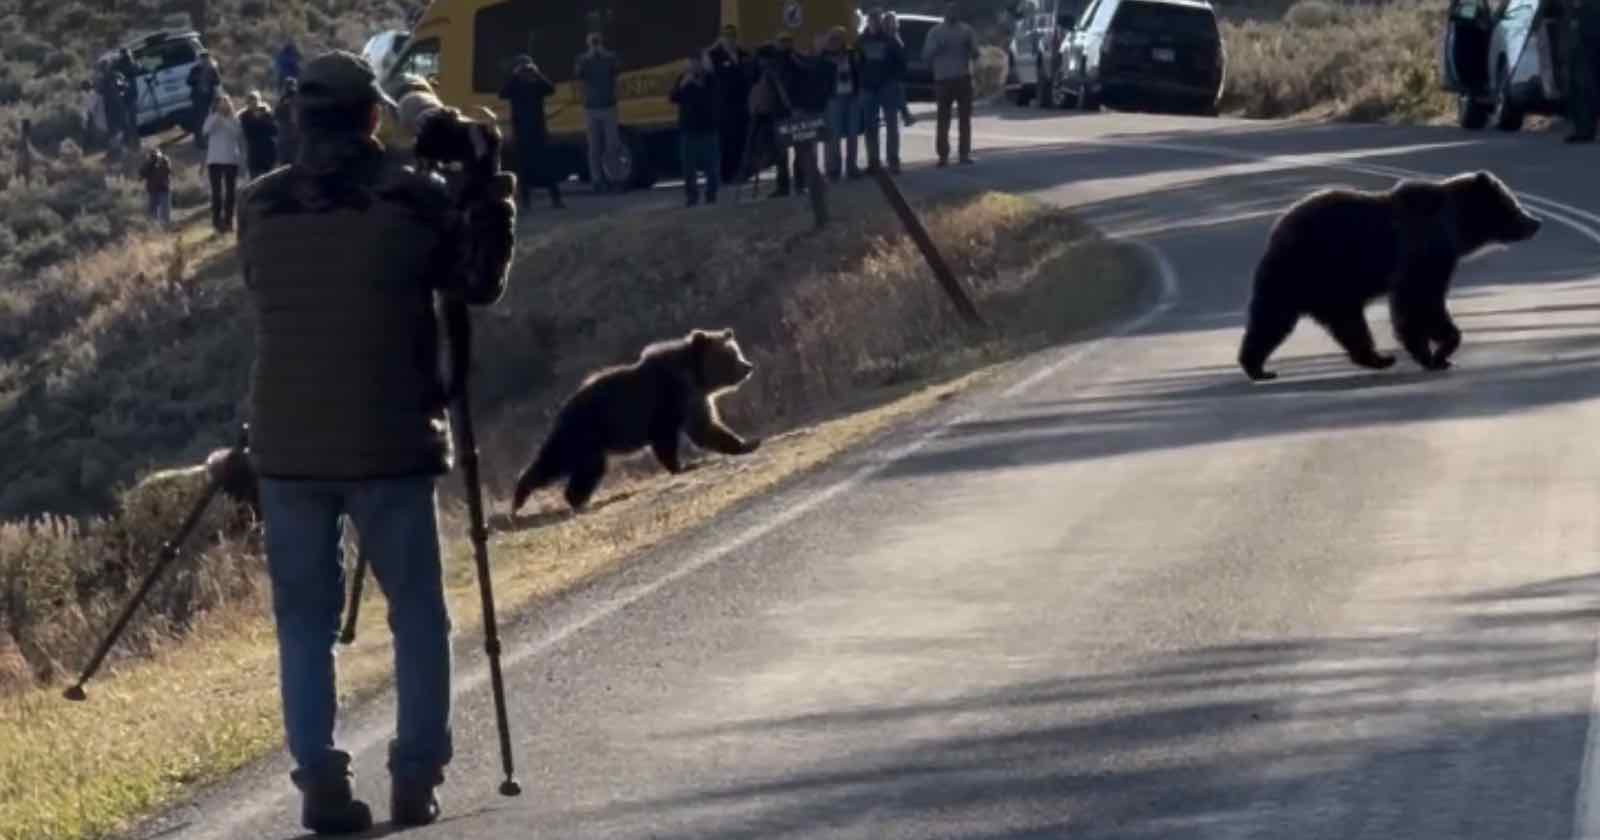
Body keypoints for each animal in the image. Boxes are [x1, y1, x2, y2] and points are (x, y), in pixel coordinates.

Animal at [512, 331, 761, 515]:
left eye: (737, 351)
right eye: (730, 355)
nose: (748, 366)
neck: (696, 376)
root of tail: (562, 408)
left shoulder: (691, 400)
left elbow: (702, 426)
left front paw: (747, 442)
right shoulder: (671, 399)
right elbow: (694, 432)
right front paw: (688, 464)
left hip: (590, 444)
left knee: (585, 470)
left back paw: (576, 500)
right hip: (585, 431)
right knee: (557, 461)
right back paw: (520, 498)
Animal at [1235, 170, 1536, 379]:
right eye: (1513, 205)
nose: (1536, 222)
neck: (1453, 230)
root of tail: (1277, 226)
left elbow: (1419, 304)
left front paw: (1436, 355)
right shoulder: (1422, 255)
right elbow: (1420, 302)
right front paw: (1436, 354)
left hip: (1331, 287)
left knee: (1342, 323)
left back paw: (1375, 358)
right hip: (1305, 267)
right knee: (1275, 315)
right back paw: (1259, 367)